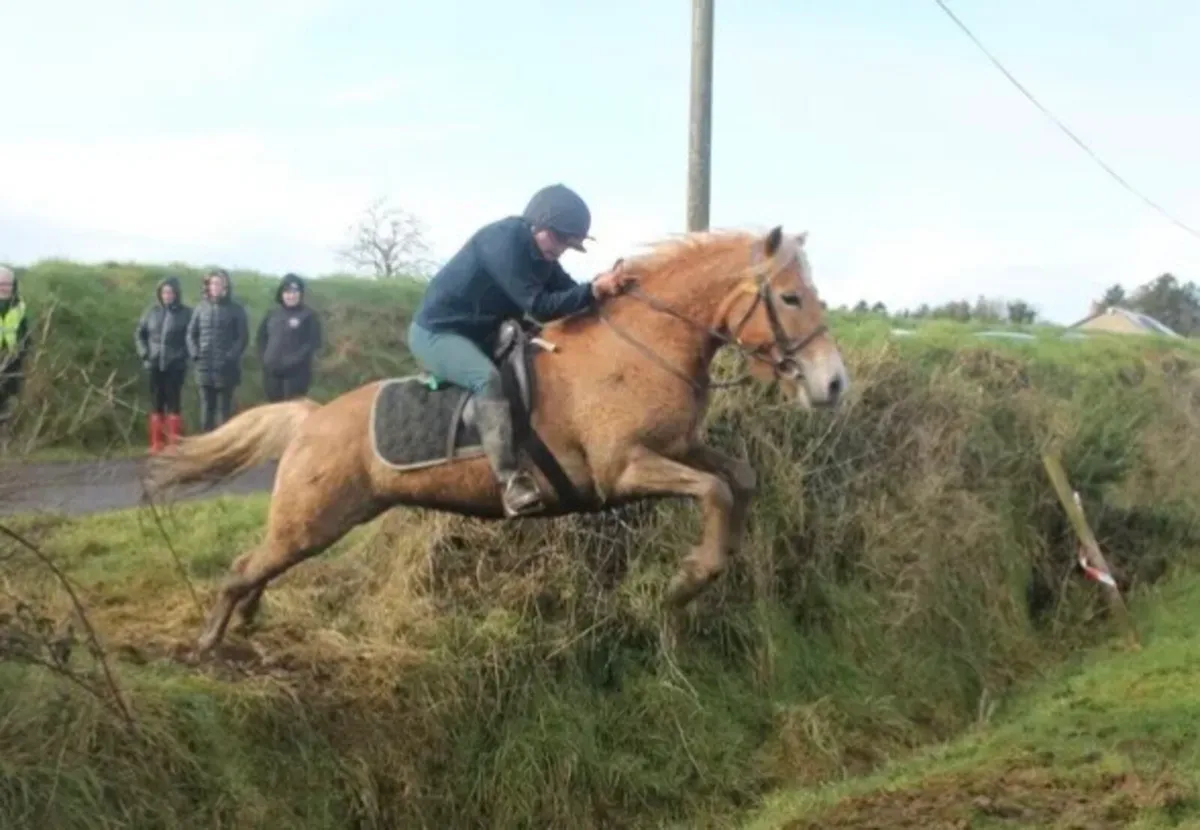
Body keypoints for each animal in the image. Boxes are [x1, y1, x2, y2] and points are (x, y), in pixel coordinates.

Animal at [148, 225, 849, 656]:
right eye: (791, 298)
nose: (834, 383)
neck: (643, 344)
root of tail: (311, 419)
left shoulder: (676, 447)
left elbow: (737, 481)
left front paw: (712, 565)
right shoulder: (624, 469)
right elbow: (713, 491)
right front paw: (688, 581)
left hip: (319, 522)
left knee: (259, 565)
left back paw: (245, 620)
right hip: (312, 517)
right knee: (245, 567)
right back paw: (209, 641)